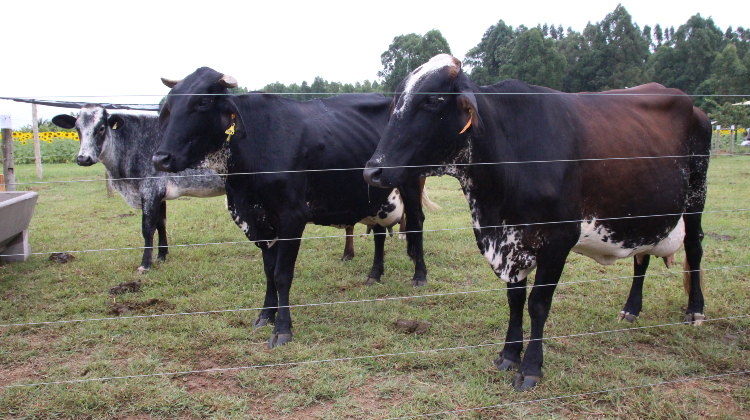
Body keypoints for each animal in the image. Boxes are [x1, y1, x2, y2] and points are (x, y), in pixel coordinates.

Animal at [52, 105, 226, 271]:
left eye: (101, 127)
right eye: (77, 128)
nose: (83, 158)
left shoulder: (150, 190)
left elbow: (147, 228)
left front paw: (145, 264)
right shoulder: (159, 195)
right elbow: (161, 223)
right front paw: (161, 256)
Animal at [151, 67, 429, 348]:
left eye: (202, 102)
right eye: (170, 105)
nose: (161, 158)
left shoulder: (292, 217)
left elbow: (282, 274)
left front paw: (282, 329)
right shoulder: (259, 221)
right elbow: (268, 271)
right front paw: (265, 315)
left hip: (411, 184)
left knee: (416, 223)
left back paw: (419, 276)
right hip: (374, 197)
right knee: (379, 232)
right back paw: (374, 274)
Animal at [364, 54, 711, 391]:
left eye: (433, 100)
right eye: (397, 99)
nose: (372, 170)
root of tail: (693, 106)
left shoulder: (558, 240)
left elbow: (538, 303)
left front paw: (531, 367)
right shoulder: (511, 243)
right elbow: (515, 300)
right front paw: (508, 354)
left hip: (696, 196)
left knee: (694, 249)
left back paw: (695, 309)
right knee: (641, 258)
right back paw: (632, 309)